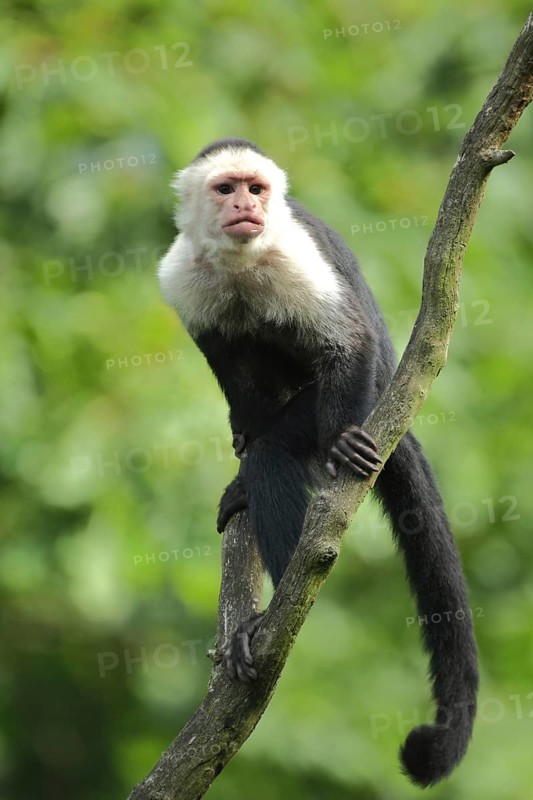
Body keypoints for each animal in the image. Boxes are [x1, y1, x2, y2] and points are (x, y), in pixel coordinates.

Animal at [158, 138, 478, 788]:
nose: (247, 206)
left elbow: (347, 342)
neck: (242, 263)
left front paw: (330, 446)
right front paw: (244, 432)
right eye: (226, 189)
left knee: (288, 444)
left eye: (256, 189)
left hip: (373, 391)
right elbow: (223, 358)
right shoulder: (182, 274)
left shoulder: (293, 256)